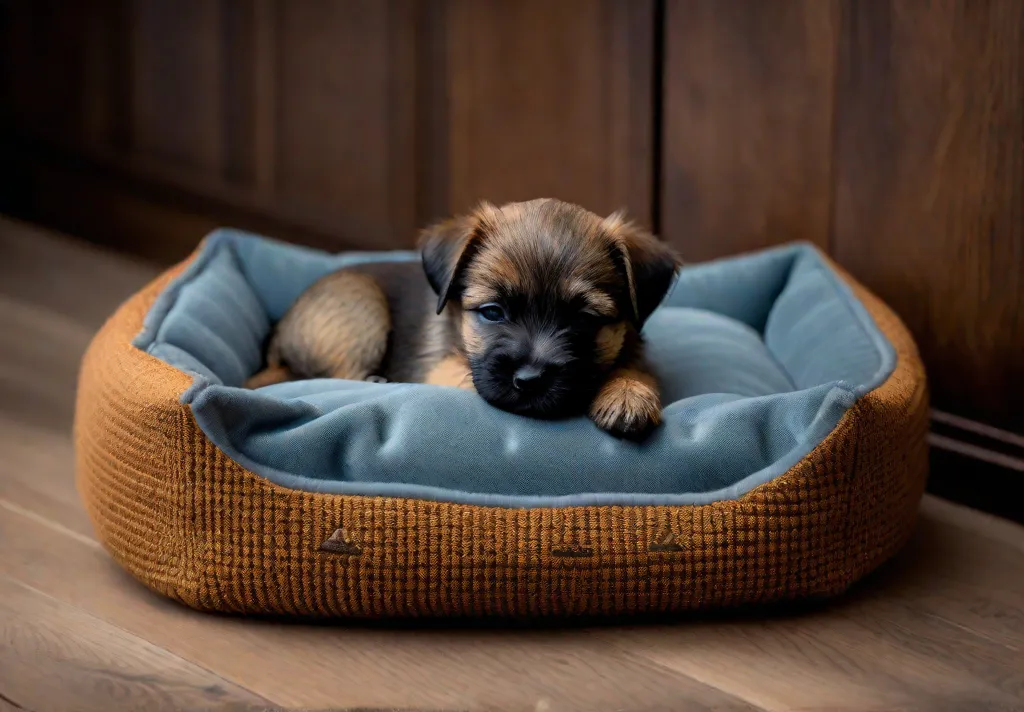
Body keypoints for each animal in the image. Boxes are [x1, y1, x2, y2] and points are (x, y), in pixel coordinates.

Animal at [242, 197, 679, 436]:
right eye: (492, 312)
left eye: (585, 319)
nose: (530, 379)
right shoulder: (446, 370)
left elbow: (632, 368)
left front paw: (627, 392)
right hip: (361, 307)